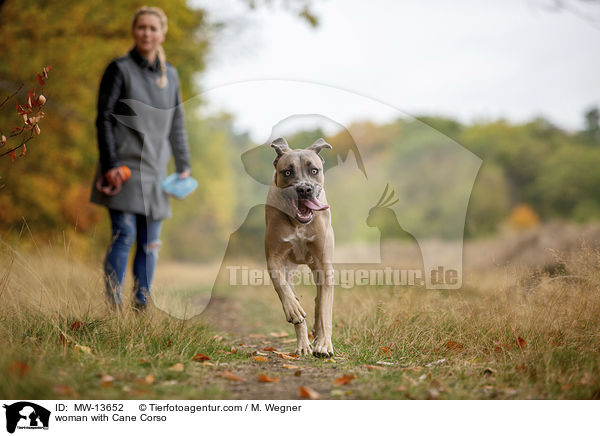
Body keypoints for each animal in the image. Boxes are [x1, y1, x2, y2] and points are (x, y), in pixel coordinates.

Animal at [264, 137, 336, 358]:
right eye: (287, 172)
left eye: (314, 170)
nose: (304, 189)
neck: (298, 223)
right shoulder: (274, 259)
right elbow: (282, 286)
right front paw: (294, 311)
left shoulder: (325, 264)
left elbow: (325, 310)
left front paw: (324, 344)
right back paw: (303, 343)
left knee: (320, 301)